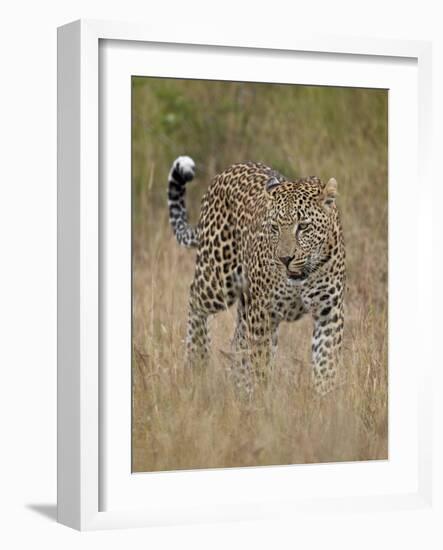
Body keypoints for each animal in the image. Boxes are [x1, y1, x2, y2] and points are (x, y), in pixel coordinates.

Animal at [168, 155, 346, 396]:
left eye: (303, 227)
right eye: (274, 227)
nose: (285, 259)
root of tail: (225, 172)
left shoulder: (329, 312)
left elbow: (325, 363)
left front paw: (324, 399)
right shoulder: (263, 312)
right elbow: (261, 363)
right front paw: (263, 399)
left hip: (245, 302)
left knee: (238, 342)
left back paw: (239, 388)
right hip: (218, 280)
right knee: (195, 299)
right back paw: (197, 360)